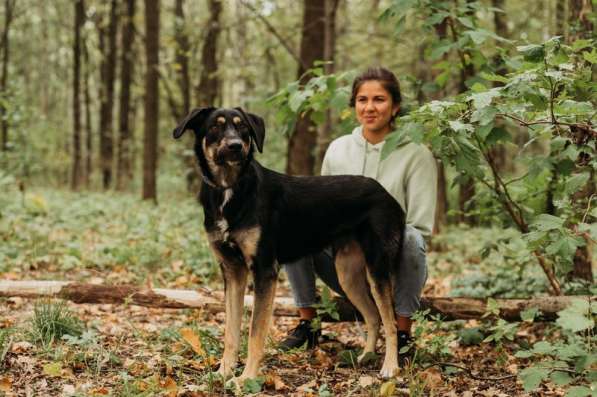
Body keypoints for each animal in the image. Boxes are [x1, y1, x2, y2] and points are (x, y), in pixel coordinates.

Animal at [172, 106, 406, 382]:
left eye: (243, 128)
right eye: (215, 127)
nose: (236, 146)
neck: (230, 189)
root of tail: (386, 193)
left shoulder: (264, 270)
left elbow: (255, 333)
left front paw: (247, 378)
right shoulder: (232, 271)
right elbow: (231, 331)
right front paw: (224, 371)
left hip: (377, 267)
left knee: (390, 321)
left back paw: (390, 366)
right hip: (348, 274)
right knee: (373, 316)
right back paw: (366, 356)